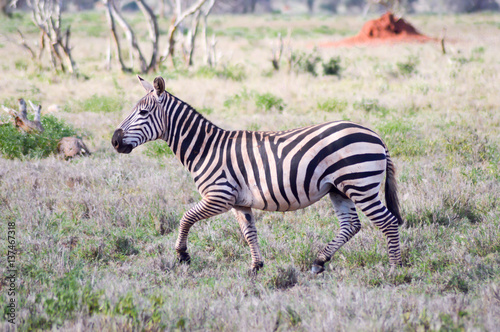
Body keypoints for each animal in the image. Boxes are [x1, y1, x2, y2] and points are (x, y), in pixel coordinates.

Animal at [111, 76, 404, 274]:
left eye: (143, 112)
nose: (114, 141)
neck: (205, 149)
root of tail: (376, 135)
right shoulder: (239, 203)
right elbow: (249, 232)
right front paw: (256, 266)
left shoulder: (219, 197)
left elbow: (186, 218)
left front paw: (182, 255)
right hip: (338, 189)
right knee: (351, 226)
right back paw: (319, 261)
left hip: (360, 185)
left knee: (388, 223)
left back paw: (394, 269)